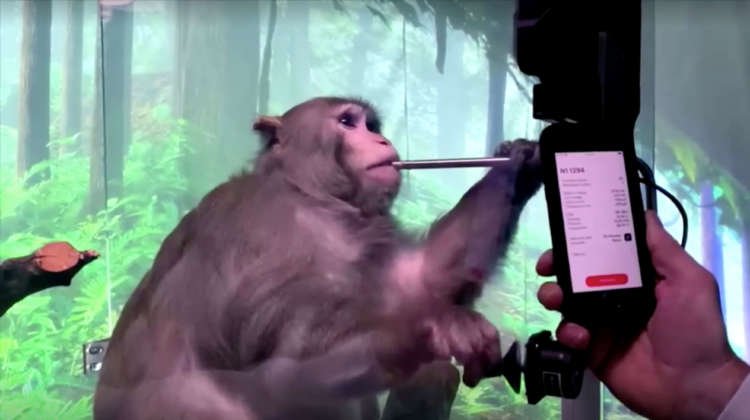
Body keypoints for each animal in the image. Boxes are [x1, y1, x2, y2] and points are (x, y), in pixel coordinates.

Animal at [93, 96, 543, 420]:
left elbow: (417, 280)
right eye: (347, 122)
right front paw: (429, 330)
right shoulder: (268, 236)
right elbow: (279, 373)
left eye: (371, 125)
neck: (306, 193)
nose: (382, 141)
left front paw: (516, 166)